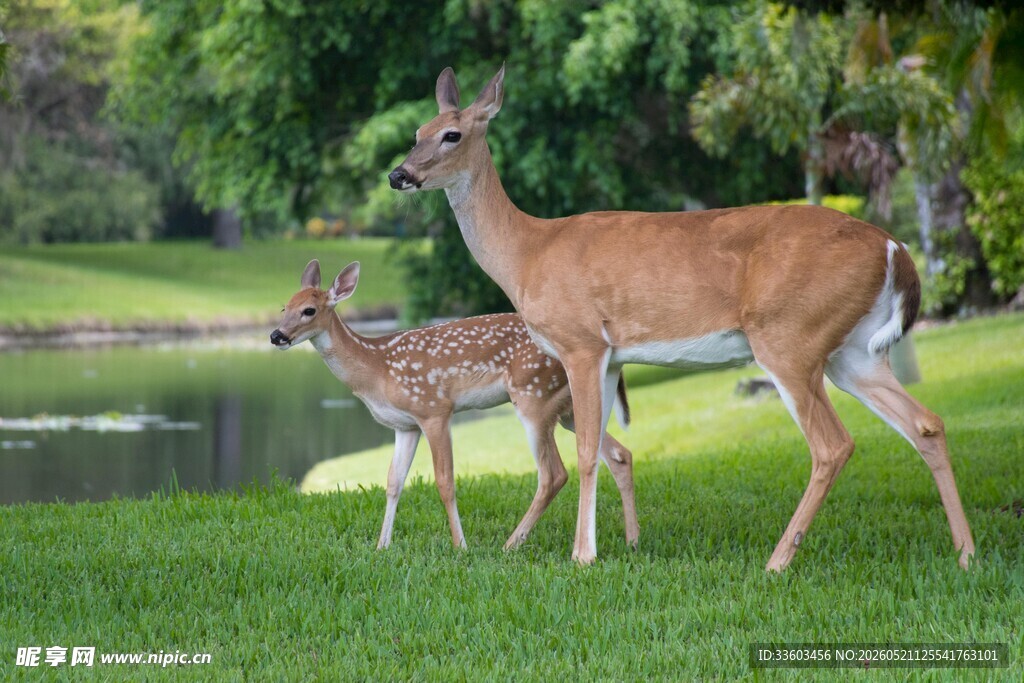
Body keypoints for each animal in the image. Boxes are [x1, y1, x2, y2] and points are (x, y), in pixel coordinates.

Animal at [271, 259, 639, 551]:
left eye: (309, 310)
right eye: (284, 307)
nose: (276, 335)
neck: (377, 368)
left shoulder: (434, 408)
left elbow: (445, 482)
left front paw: (460, 546)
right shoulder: (404, 425)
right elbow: (393, 482)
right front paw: (381, 546)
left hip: (532, 396)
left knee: (554, 473)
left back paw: (511, 544)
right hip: (565, 408)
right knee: (618, 453)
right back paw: (632, 540)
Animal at [386, 65, 975, 571]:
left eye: (452, 135)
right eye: (417, 130)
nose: (398, 174)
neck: (527, 252)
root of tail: (896, 248)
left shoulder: (581, 341)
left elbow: (586, 451)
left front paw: (582, 556)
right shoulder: (611, 356)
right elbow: (608, 450)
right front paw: (612, 544)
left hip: (789, 337)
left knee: (833, 445)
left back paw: (777, 561)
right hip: (852, 351)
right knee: (925, 423)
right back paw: (965, 552)